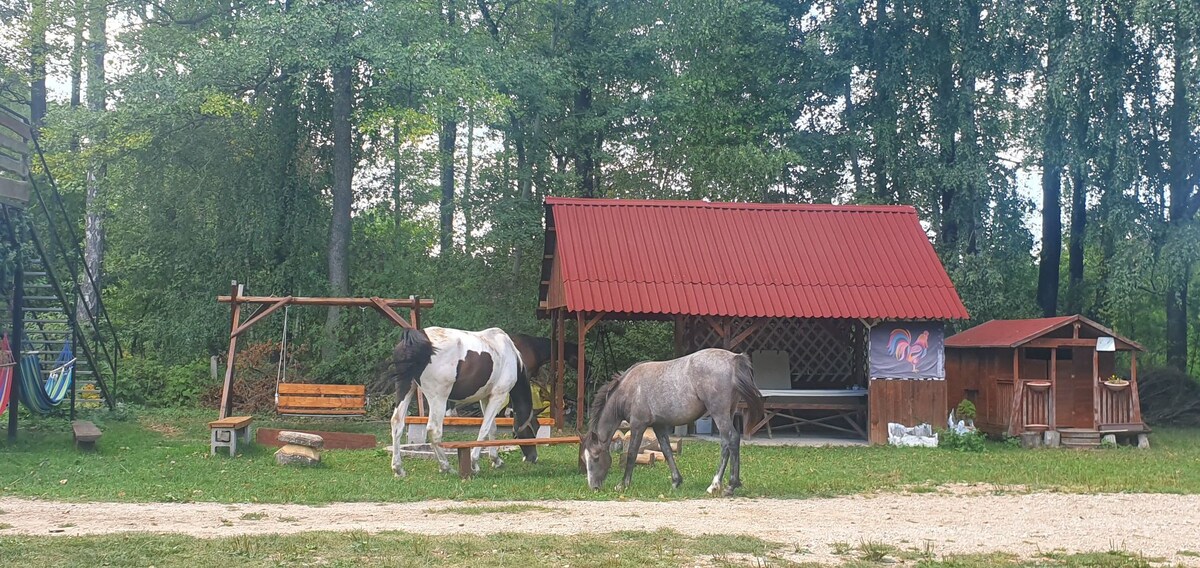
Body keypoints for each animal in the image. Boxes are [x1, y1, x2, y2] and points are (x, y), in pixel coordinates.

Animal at [386, 326, 537, 475]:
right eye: (535, 428)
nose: (533, 457)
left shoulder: (486, 398)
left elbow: (492, 428)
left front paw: (496, 460)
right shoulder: (498, 396)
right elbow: (484, 428)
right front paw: (474, 463)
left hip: (406, 388)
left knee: (397, 423)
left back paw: (398, 468)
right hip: (438, 398)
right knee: (434, 430)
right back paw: (446, 466)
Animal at [578, 348, 758, 494]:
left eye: (595, 457)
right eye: (583, 459)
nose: (593, 487)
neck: (628, 389)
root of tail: (734, 358)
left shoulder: (638, 425)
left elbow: (632, 453)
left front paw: (623, 484)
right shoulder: (659, 426)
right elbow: (667, 451)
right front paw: (676, 481)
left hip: (719, 413)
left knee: (731, 439)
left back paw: (724, 486)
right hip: (728, 412)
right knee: (727, 444)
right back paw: (724, 484)